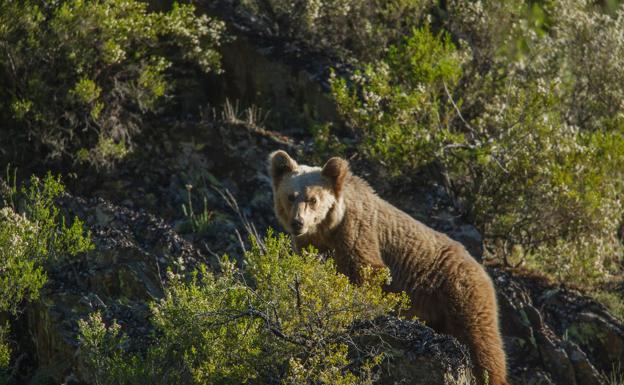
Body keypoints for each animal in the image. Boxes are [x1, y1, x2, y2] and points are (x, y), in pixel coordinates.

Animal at [268, 150, 508, 384]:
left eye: (313, 199)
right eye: (290, 196)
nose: (298, 222)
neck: (327, 229)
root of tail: (481, 267)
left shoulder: (356, 231)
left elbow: (367, 271)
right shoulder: (311, 244)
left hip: (460, 292)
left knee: (481, 342)